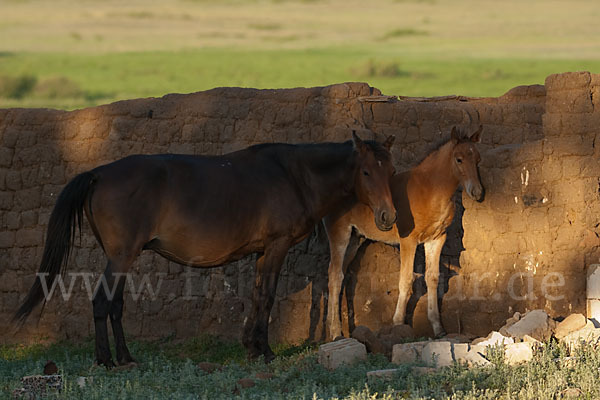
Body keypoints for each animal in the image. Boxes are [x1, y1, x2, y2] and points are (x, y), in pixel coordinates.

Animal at [14, 131, 396, 366]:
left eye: (389, 170)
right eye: (365, 172)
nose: (387, 216)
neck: (294, 175)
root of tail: (99, 174)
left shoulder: (263, 251)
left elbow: (257, 295)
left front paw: (251, 347)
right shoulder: (277, 247)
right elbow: (267, 297)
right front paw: (265, 351)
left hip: (121, 258)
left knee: (116, 303)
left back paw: (125, 357)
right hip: (121, 257)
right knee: (103, 301)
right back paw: (107, 360)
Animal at [324, 126, 482, 340]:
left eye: (478, 159)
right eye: (459, 159)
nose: (477, 192)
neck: (431, 190)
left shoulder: (437, 239)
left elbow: (432, 278)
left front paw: (438, 327)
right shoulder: (409, 240)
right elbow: (406, 280)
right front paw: (398, 323)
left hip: (356, 238)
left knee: (338, 275)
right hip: (340, 233)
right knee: (335, 275)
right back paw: (334, 332)